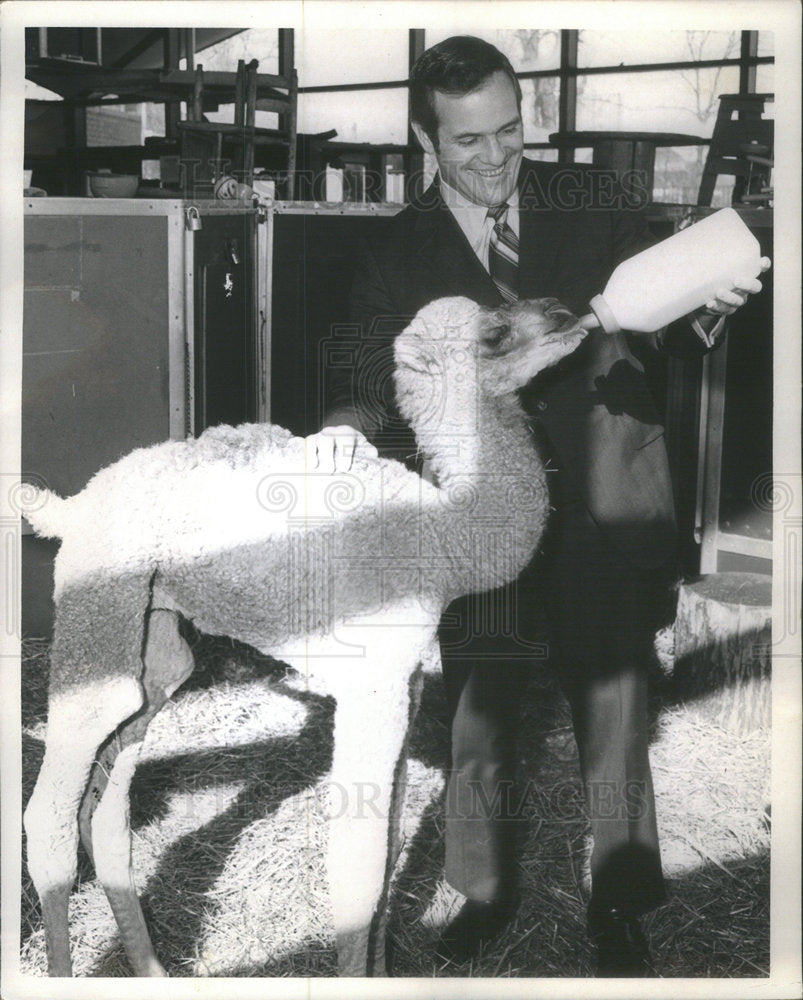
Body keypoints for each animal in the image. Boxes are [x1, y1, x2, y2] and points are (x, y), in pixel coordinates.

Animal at [20, 294, 584, 976]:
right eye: (495, 330)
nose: (566, 314)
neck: (444, 536)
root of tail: (74, 507)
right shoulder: (372, 686)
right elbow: (359, 865)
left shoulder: (407, 683)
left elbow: (391, 842)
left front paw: (384, 973)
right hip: (96, 603)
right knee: (52, 807)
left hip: (154, 634)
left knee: (109, 799)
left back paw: (151, 968)